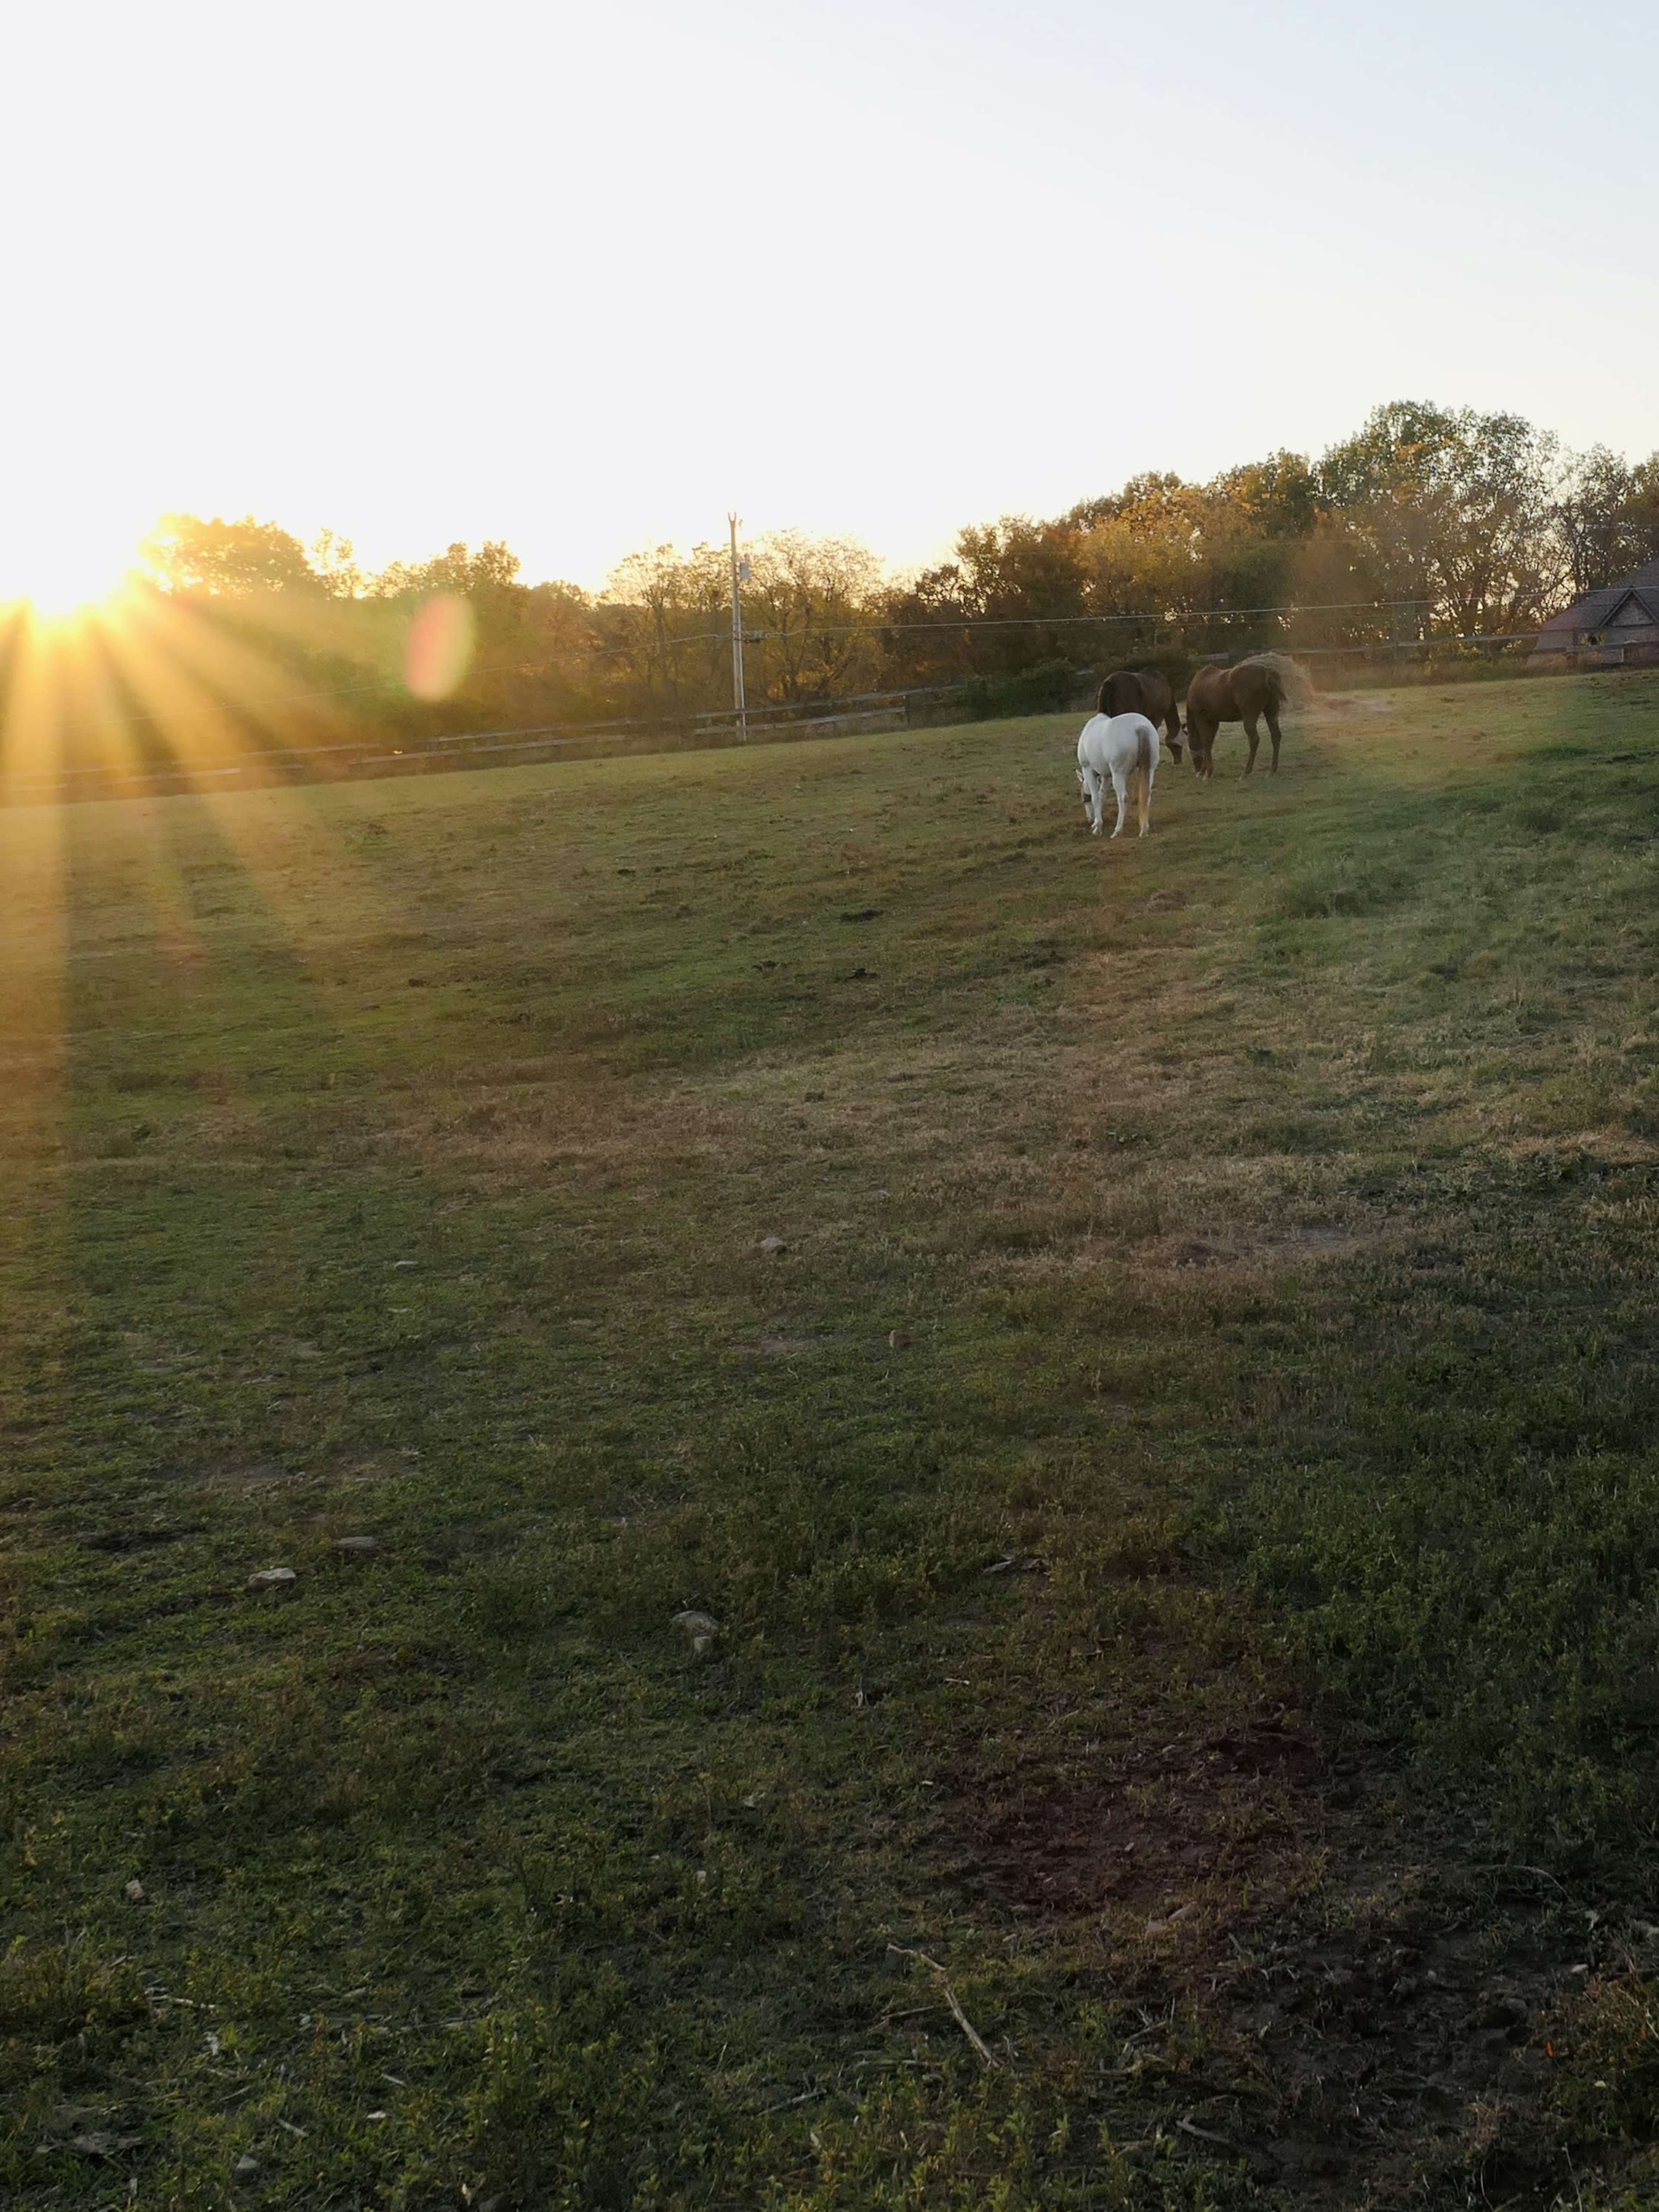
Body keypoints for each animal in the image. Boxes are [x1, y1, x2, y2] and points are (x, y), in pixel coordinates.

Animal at [1076, 711, 1158, 838]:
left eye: (1085, 799)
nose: (1090, 819)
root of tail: (1139, 726)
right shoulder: (1107, 776)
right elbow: (1102, 797)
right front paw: (1096, 824)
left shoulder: (1088, 770)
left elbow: (1096, 798)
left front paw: (1097, 828)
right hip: (1150, 769)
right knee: (1147, 795)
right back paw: (1144, 829)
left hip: (1118, 774)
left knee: (1123, 798)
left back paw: (1118, 830)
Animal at [1182, 652, 1310, 780]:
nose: (1197, 769)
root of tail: (1266, 673)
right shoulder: (1214, 722)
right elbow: (1209, 743)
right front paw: (1206, 771)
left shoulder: (1201, 719)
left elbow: (1206, 742)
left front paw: (1206, 773)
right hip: (1271, 711)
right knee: (1276, 736)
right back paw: (1272, 770)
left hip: (1250, 716)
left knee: (1254, 740)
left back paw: (1246, 772)